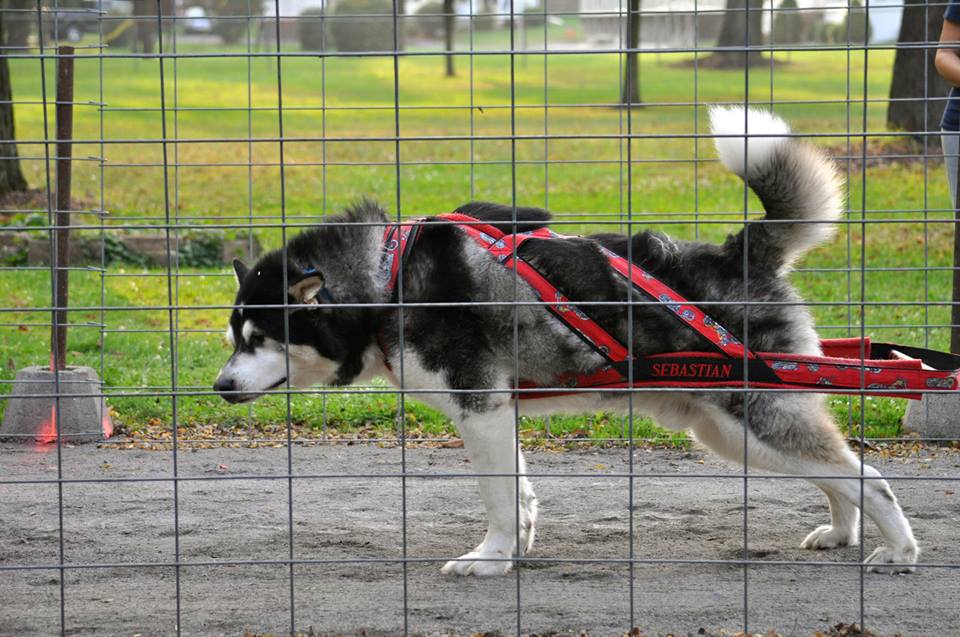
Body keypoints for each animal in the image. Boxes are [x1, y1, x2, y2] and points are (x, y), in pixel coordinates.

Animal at [214, 107, 920, 572]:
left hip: (750, 418)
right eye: (233, 336)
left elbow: (499, 501)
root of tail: (738, 251)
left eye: (259, 337)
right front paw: (518, 547)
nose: (219, 386)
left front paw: (490, 559)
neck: (388, 277)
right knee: (839, 477)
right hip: (729, 431)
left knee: (869, 476)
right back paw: (841, 534)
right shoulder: (497, 414)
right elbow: (520, 494)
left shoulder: (481, 409)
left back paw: (899, 551)